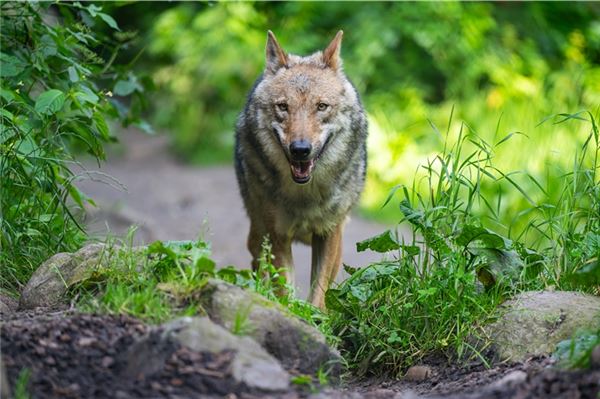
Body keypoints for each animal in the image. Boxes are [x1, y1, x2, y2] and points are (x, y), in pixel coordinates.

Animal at [233, 30, 366, 310]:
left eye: (322, 106)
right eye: (283, 106)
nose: (300, 150)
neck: (305, 195)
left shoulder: (329, 232)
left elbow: (319, 291)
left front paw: (315, 316)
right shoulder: (277, 235)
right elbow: (285, 289)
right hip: (258, 232)